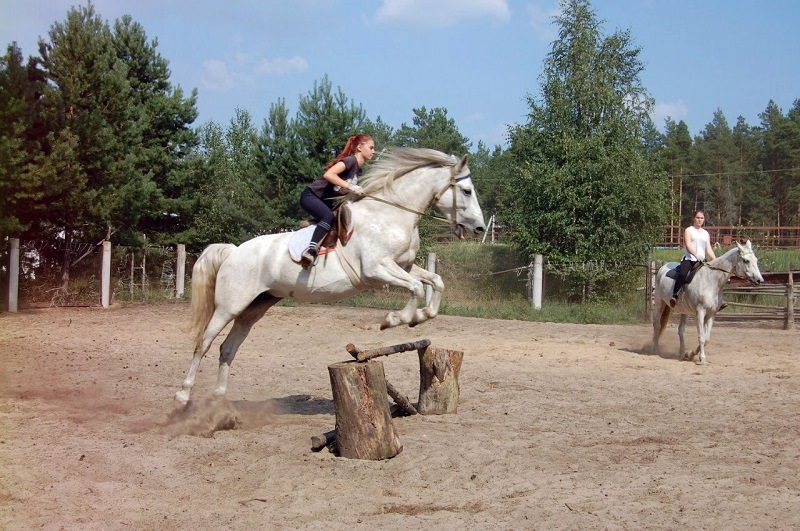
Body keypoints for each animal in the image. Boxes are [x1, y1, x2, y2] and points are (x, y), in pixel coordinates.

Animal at [174, 147, 486, 405]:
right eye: (467, 191)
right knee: (203, 343)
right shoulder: (378, 269)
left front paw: (420, 317)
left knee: (227, 348)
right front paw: (394, 320)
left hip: (256, 306)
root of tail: (233, 251)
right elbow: (416, 289)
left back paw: (219, 399)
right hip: (230, 305)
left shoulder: (403, 266)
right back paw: (183, 395)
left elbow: (434, 282)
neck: (389, 215)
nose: (480, 228)